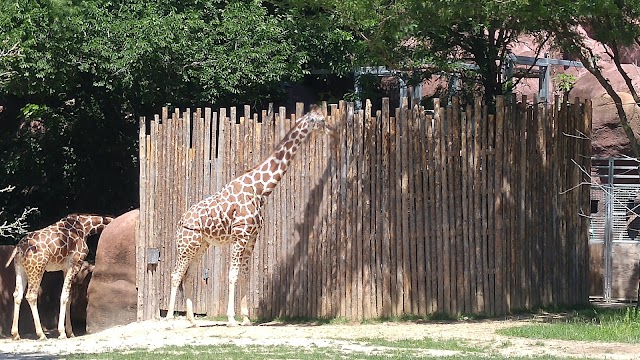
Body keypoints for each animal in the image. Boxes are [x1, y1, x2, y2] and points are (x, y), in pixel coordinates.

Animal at [165, 104, 336, 326]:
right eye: (322, 120)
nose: (333, 131)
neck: (260, 189)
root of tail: (180, 221)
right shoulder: (240, 235)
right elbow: (233, 274)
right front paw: (231, 318)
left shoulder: (252, 237)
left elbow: (245, 275)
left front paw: (246, 318)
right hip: (186, 244)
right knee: (176, 274)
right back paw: (169, 317)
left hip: (201, 245)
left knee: (189, 275)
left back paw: (193, 320)